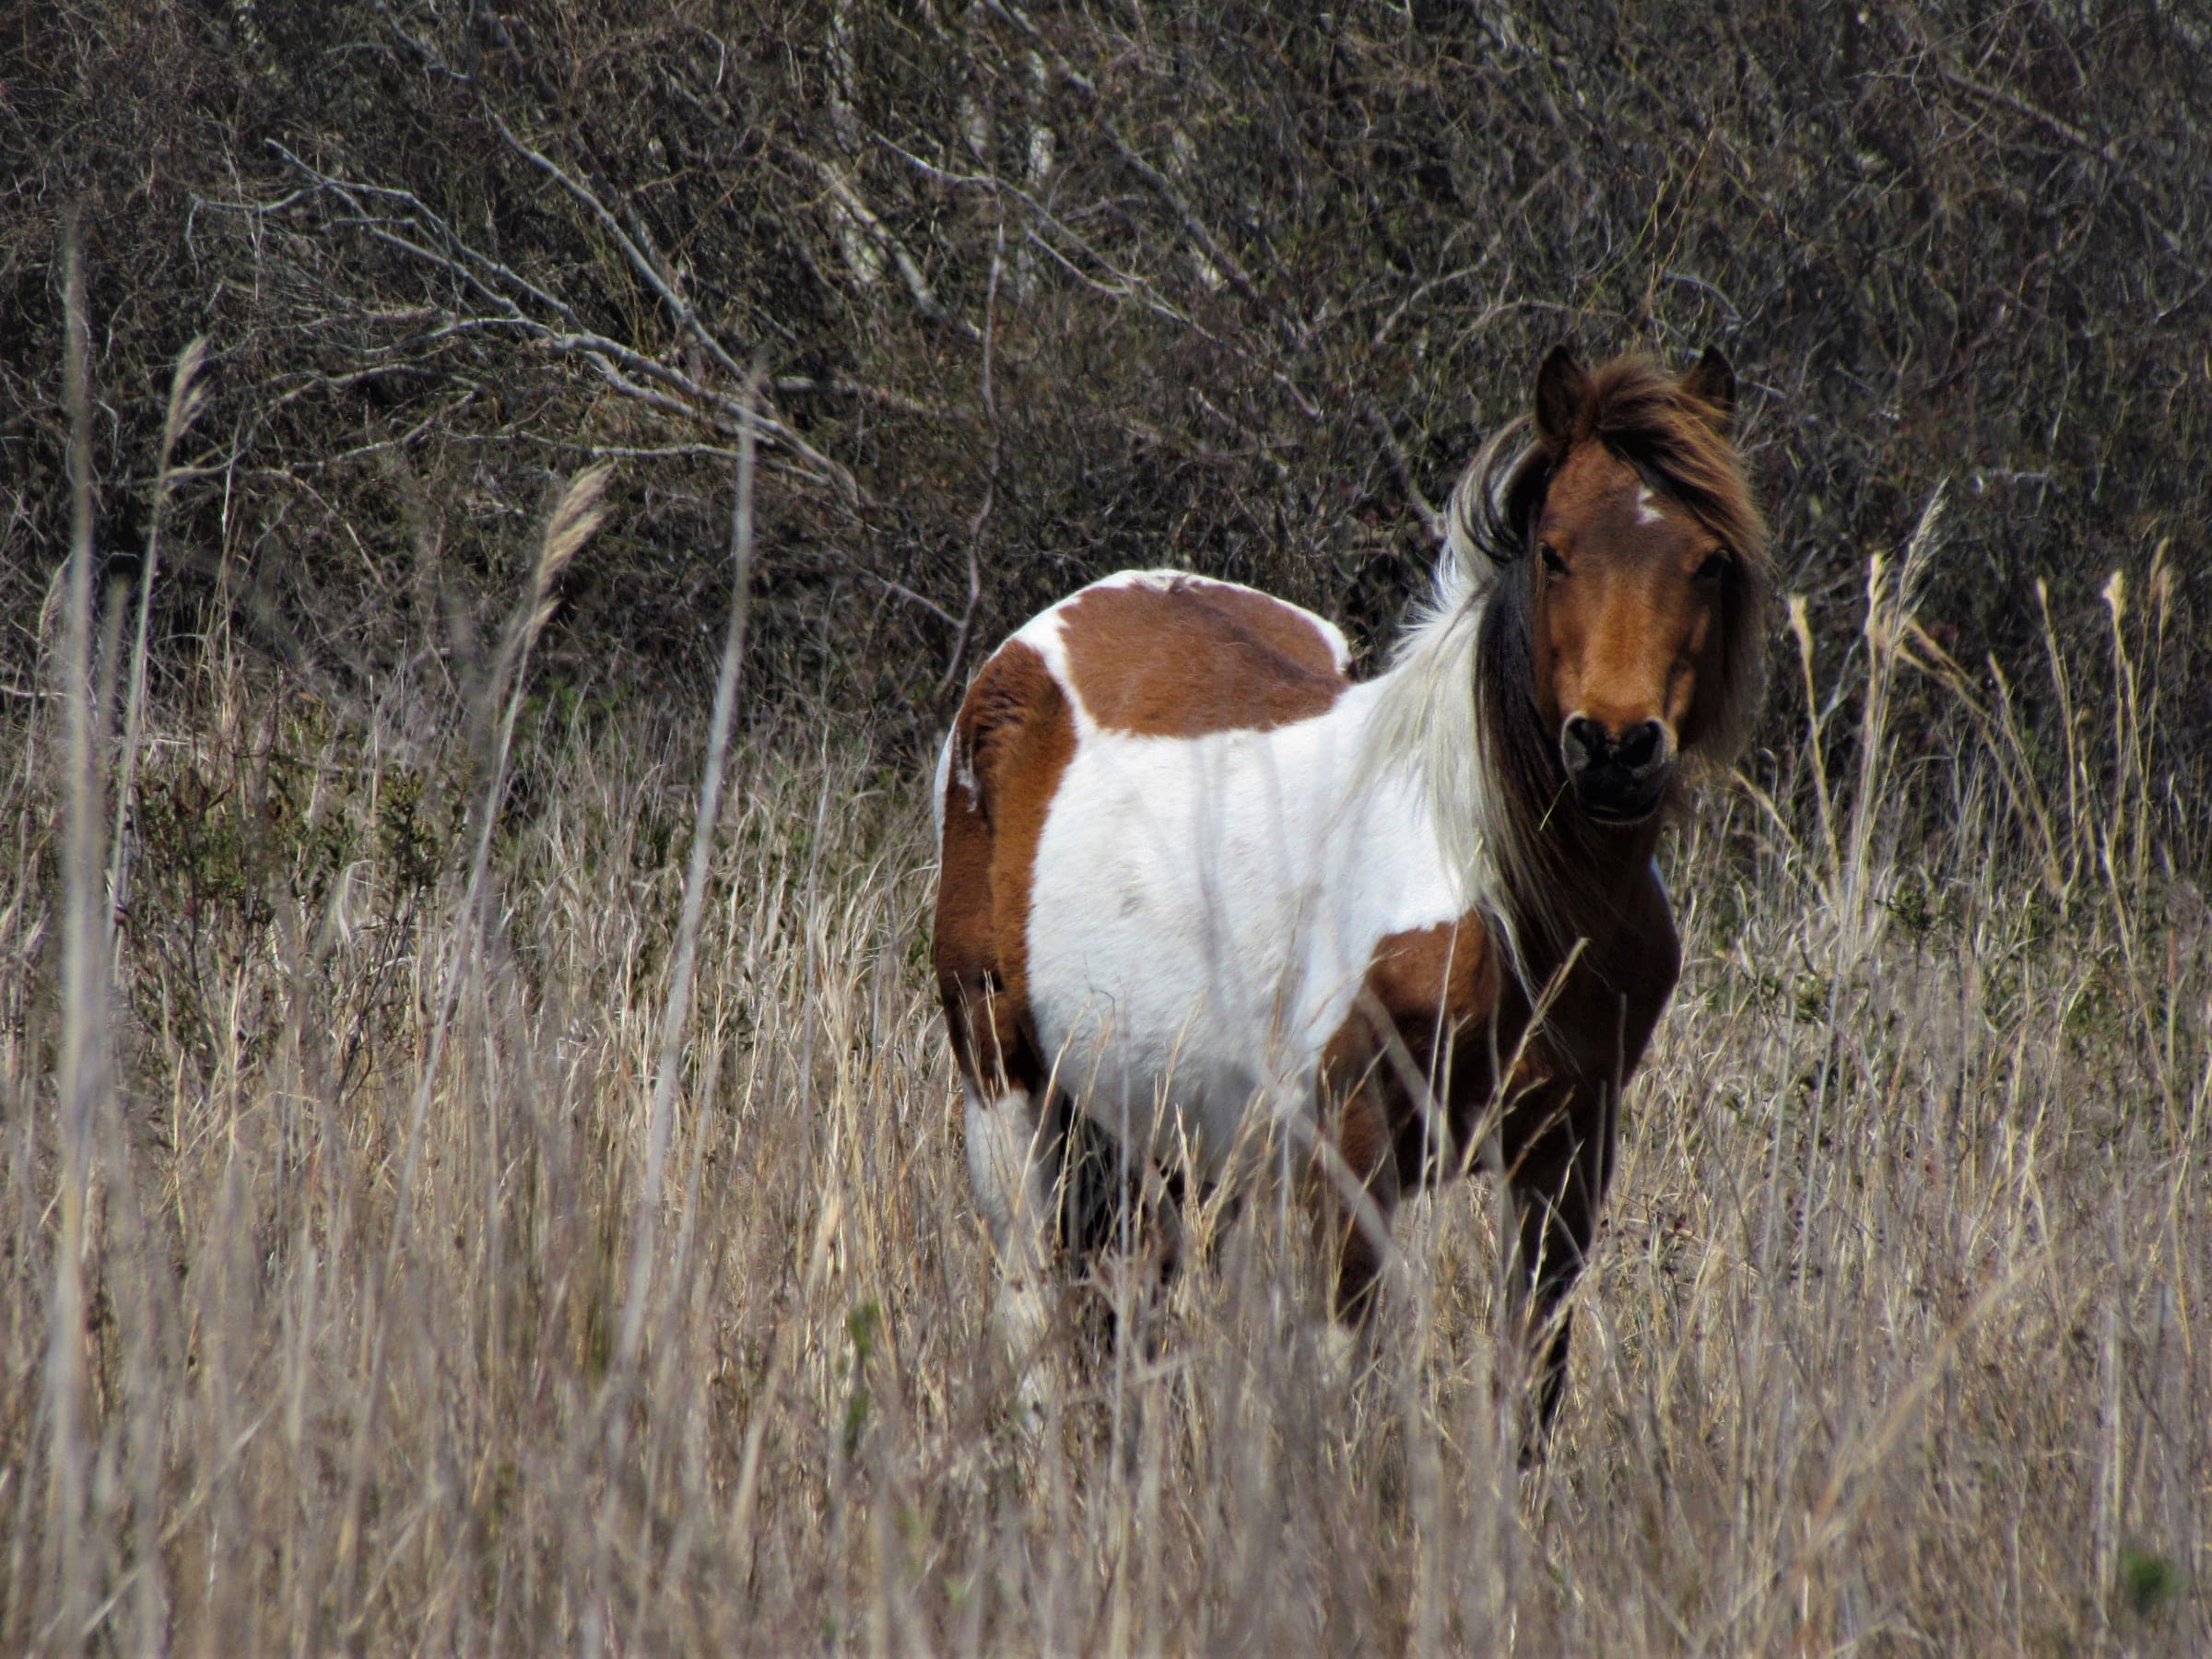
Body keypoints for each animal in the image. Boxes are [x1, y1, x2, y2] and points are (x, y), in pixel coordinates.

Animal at [931, 345, 1769, 1447]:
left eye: (1708, 559)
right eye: (1552, 553)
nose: (1617, 752)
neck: (1503, 899)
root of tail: (1024, 650)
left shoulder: (1565, 1157)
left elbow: (1526, 1386)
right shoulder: (1352, 1153)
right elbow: (1345, 1382)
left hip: (1157, 1126)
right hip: (1008, 1087)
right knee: (1035, 1302)